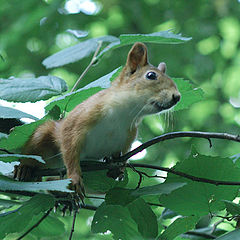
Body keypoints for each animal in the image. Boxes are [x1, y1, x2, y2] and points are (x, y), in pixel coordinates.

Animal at [14, 42, 181, 201]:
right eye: (151, 75)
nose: (177, 96)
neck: (124, 113)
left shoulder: (129, 135)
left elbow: (122, 154)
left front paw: (118, 166)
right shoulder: (79, 119)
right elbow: (69, 147)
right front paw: (75, 177)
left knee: (53, 181)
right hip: (43, 138)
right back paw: (25, 169)